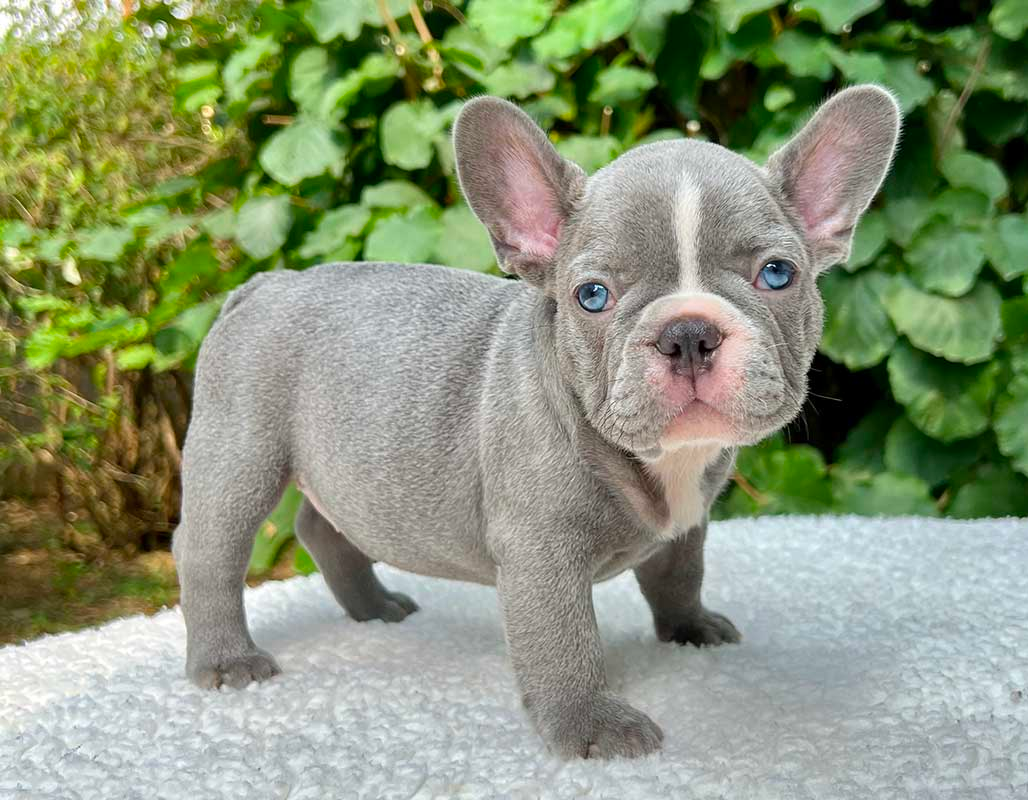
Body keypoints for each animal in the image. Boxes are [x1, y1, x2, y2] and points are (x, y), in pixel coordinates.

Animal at [174, 84, 900, 756]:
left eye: (777, 275)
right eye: (592, 296)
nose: (688, 332)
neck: (659, 457)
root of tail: (263, 285)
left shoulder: (687, 522)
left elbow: (677, 575)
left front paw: (689, 629)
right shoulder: (540, 555)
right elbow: (564, 642)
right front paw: (590, 726)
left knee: (324, 528)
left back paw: (374, 609)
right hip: (241, 452)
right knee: (209, 550)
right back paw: (227, 659)